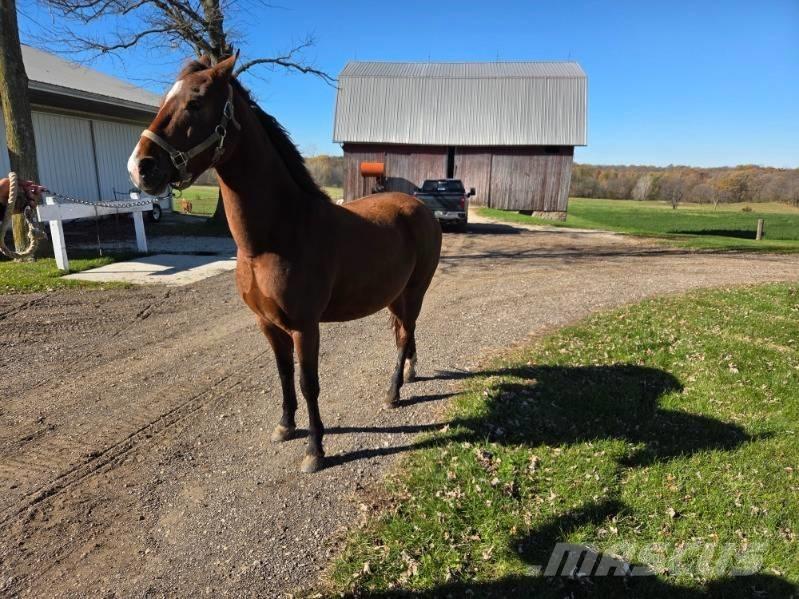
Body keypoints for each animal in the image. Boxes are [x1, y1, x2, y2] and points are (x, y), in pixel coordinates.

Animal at [128, 54, 442, 473]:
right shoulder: (267, 323)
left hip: (416, 290)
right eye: (165, 98)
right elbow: (283, 374)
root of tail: (421, 207)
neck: (276, 236)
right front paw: (285, 427)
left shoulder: (305, 327)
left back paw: (393, 392)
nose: (141, 167)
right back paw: (408, 374)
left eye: (195, 102)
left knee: (405, 335)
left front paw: (315, 450)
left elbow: (309, 383)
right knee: (405, 335)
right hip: (395, 295)